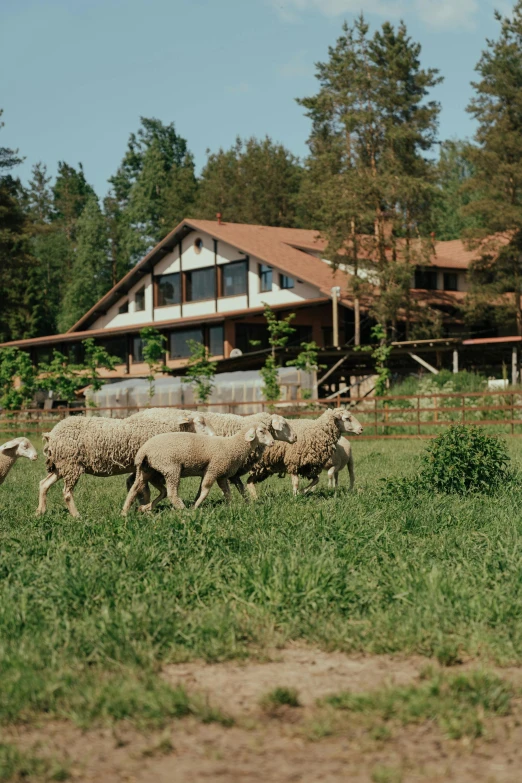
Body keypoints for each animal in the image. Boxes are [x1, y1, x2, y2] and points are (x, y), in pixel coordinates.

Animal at [36, 408, 213, 516]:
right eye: (200, 422)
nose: (214, 436)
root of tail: (51, 435)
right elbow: (144, 489)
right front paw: (145, 509)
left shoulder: (141, 466)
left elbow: (141, 489)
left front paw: (143, 509)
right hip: (71, 465)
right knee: (66, 492)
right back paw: (77, 515)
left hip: (62, 465)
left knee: (44, 484)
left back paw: (40, 511)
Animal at [122, 422, 274, 516]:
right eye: (261, 431)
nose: (273, 442)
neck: (232, 445)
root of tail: (144, 450)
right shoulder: (213, 469)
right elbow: (205, 489)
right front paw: (195, 507)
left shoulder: (221, 475)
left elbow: (227, 492)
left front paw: (230, 506)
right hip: (171, 468)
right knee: (171, 493)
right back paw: (183, 510)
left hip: (147, 470)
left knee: (135, 489)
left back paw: (127, 511)